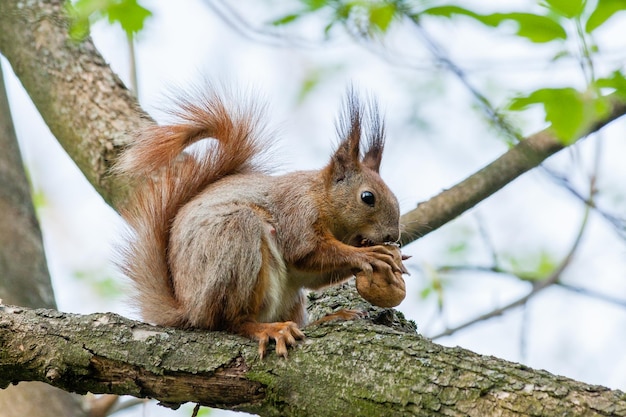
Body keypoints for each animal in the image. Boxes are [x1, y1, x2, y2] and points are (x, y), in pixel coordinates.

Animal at [116, 85, 404, 358]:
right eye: (367, 197)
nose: (393, 237)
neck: (321, 197)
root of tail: (189, 308)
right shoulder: (296, 213)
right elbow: (307, 252)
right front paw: (367, 255)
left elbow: (314, 276)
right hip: (236, 242)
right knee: (230, 322)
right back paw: (267, 329)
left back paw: (331, 317)